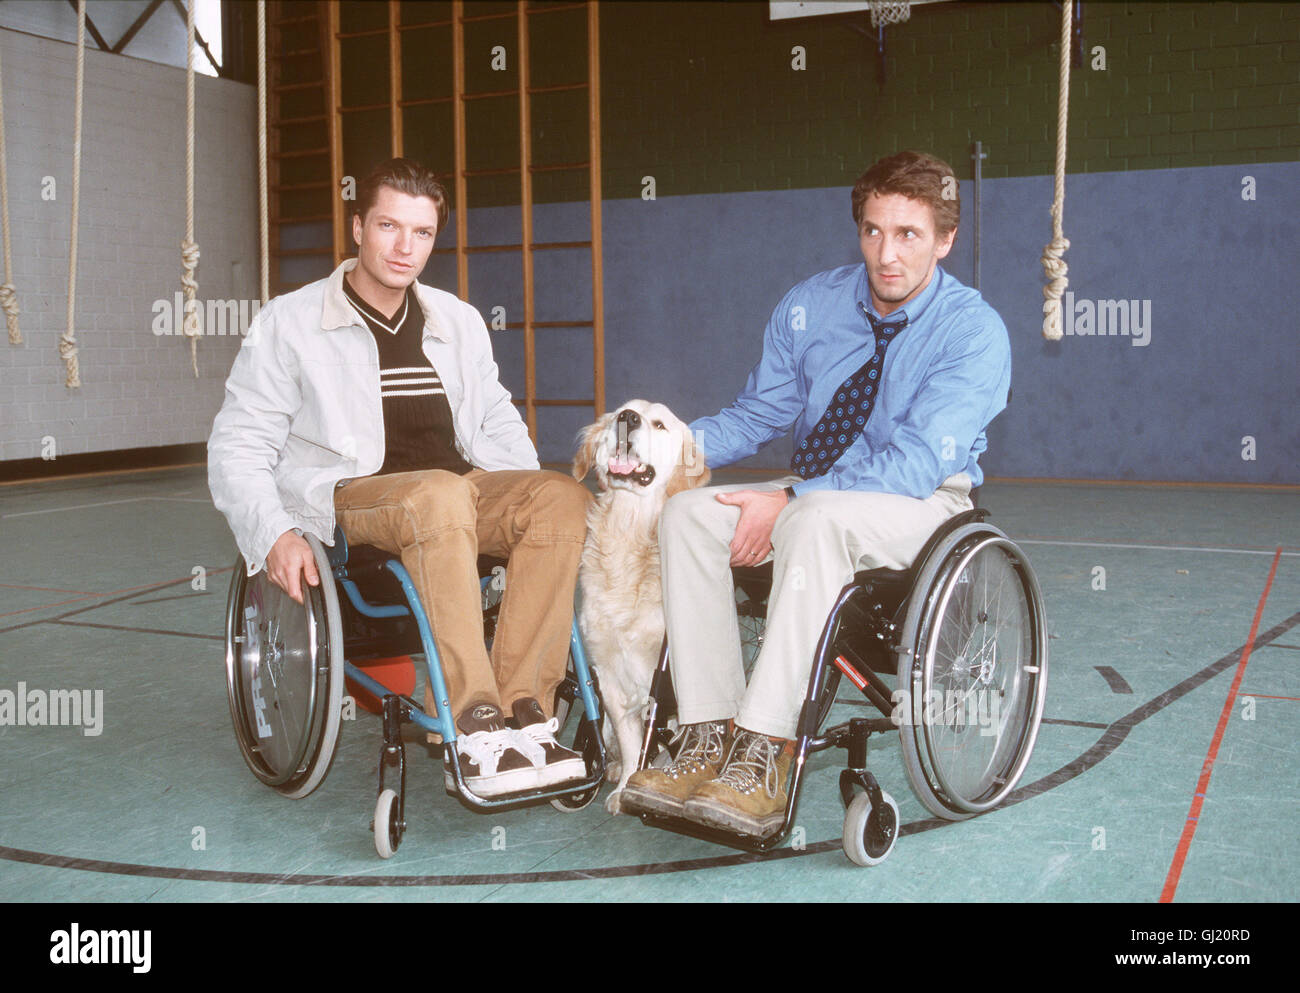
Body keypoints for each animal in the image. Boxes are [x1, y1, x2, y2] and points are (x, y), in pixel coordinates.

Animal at [572, 400, 712, 811]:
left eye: (660, 424)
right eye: (622, 411)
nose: (627, 420)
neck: (628, 529)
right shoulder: (610, 675)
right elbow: (634, 741)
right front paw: (626, 789)